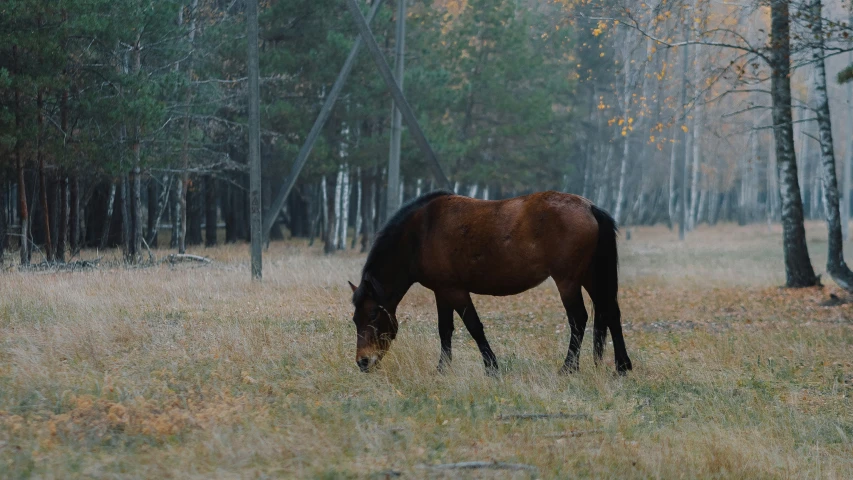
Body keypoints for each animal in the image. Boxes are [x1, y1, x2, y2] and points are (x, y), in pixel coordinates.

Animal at [348, 190, 632, 376]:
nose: (363, 362)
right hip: (591, 276)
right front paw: (442, 369)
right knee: (610, 312)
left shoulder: (455, 290)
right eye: (354, 319)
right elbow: (445, 329)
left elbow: (474, 327)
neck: (421, 232)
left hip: (568, 281)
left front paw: (491, 367)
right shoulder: (442, 291)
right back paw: (622, 367)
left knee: (579, 319)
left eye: (373, 314)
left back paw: (569, 368)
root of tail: (589, 207)